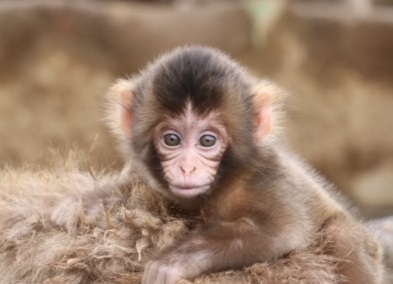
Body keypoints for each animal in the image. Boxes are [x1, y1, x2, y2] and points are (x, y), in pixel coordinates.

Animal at [105, 45, 382, 282]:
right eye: (172, 139)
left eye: (207, 141)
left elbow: (284, 230)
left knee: (340, 234)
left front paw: (173, 261)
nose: (187, 167)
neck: (224, 184)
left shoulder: (268, 177)